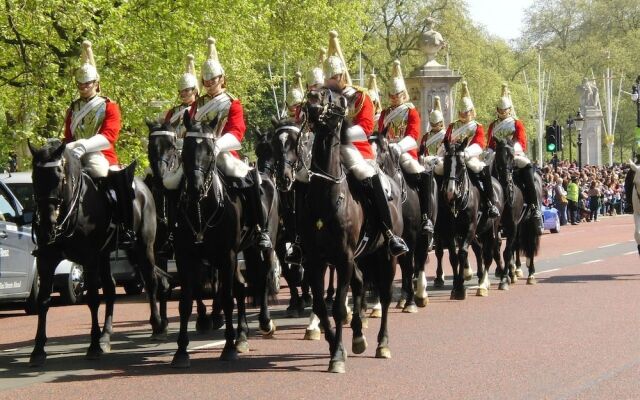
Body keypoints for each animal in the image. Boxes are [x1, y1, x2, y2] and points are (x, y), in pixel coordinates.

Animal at [27, 140, 168, 366]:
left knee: (151, 281)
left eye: (58, 174)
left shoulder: (89, 259)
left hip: (142, 248)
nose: (47, 224)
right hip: (106, 255)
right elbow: (43, 301)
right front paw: (38, 350)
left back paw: (156, 326)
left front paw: (92, 346)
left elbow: (93, 299)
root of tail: (144, 185)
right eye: (34, 176)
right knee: (111, 289)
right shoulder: (46, 260)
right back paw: (106, 336)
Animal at [170, 112, 278, 368]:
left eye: (211, 150)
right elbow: (185, 302)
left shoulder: (226, 256)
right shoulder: (185, 257)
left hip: (261, 247)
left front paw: (227, 347)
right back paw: (242, 337)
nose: (195, 188)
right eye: (186, 148)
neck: (202, 208)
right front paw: (181, 351)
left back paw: (264, 323)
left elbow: (228, 299)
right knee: (242, 285)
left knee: (263, 277)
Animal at [300, 89, 400, 374]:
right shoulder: (315, 260)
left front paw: (336, 356)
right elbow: (322, 306)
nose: (311, 102)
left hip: (385, 257)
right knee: (359, 282)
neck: (327, 195)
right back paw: (357, 337)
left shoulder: (343, 258)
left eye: (331, 97)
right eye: (314, 90)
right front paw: (337, 346)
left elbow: (337, 308)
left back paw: (382, 344)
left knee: (385, 296)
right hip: (362, 257)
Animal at [440, 139, 480, 298]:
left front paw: (461, 288)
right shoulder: (449, 231)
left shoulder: (470, 227)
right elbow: (453, 256)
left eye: (462, 165)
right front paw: (456, 286)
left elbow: (462, 253)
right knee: (479, 248)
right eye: (445, 162)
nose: (451, 193)